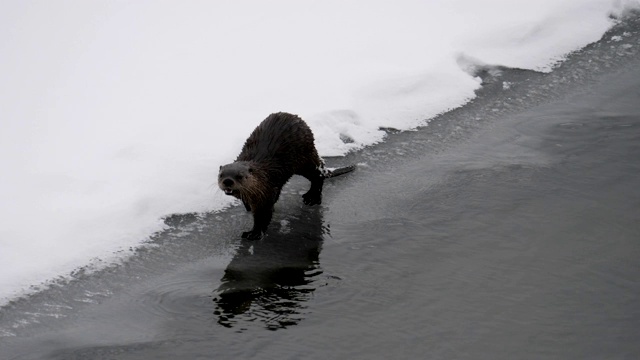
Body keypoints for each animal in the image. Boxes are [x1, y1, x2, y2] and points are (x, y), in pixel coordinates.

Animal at [219, 112, 356, 239]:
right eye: (221, 175)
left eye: (240, 176)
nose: (227, 181)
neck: (262, 177)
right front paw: (248, 207)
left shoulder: (267, 192)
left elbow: (263, 215)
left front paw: (254, 233)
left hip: (304, 159)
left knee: (318, 176)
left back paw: (312, 198)